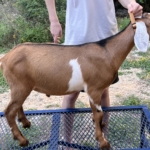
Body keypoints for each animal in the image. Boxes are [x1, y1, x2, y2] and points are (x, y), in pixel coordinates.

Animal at [0, 13, 150, 149]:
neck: (107, 52)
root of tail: (5, 57)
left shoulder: (98, 90)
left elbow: (98, 113)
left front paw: (101, 126)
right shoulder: (93, 89)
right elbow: (99, 113)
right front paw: (103, 142)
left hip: (20, 87)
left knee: (17, 105)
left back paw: (25, 123)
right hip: (20, 85)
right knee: (9, 111)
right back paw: (22, 140)